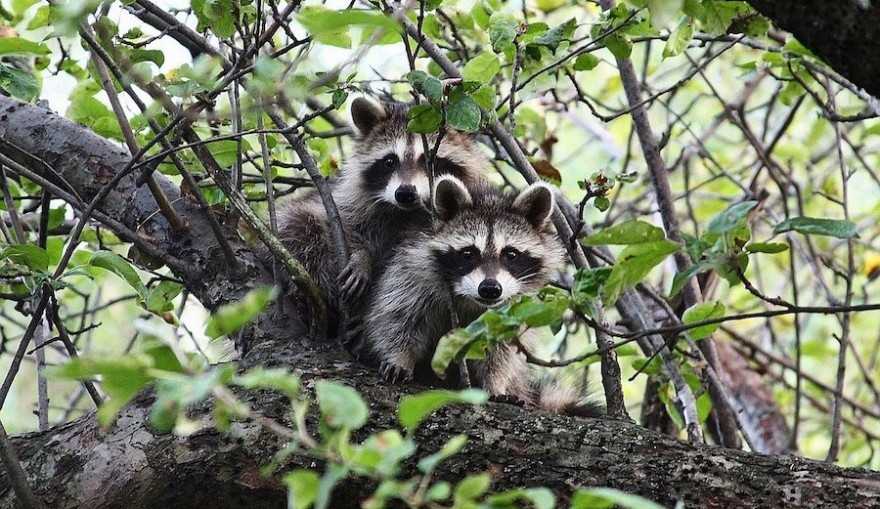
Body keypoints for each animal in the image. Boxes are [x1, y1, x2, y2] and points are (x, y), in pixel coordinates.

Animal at [270, 95, 488, 324]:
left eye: (431, 161)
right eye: (390, 161)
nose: (405, 193)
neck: (406, 212)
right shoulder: (344, 200)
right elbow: (335, 222)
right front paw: (361, 255)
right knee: (300, 225)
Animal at [360, 177, 568, 402]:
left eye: (511, 254)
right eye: (468, 253)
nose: (490, 289)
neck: (469, 299)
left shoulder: (515, 308)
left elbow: (501, 349)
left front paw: (495, 382)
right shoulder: (411, 270)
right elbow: (397, 317)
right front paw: (399, 357)